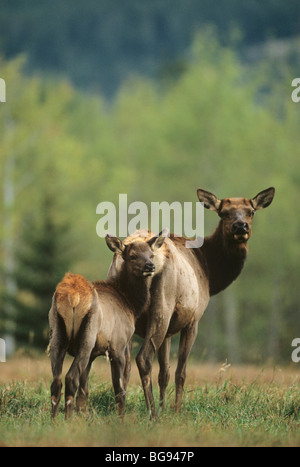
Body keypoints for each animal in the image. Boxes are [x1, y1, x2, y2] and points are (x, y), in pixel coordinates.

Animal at [109, 188, 276, 418]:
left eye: (251, 211)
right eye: (224, 213)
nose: (241, 226)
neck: (209, 273)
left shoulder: (169, 331)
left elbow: (165, 373)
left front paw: (165, 407)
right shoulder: (193, 320)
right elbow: (181, 372)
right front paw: (176, 411)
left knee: (121, 362)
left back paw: (121, 413)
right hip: (162, 307)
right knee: (143, 358)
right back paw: (152, 414)